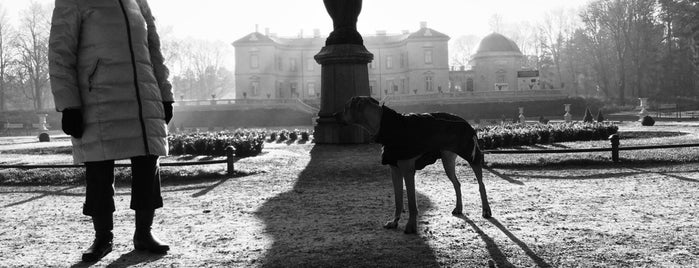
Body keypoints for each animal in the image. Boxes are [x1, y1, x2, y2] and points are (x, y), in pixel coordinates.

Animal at [334, 97, 492, 234]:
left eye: (346, 107)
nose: (334, 115)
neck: (385, 125)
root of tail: (465, 120)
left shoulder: (408, 170)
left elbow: (411, 202)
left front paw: (411, 226)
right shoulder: (395, 170)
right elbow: (398, 200)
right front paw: (394, 221)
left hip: (471, 156)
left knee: (481, 184)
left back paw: (486, 210)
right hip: (447, 161)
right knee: (457, 183)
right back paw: (459, 208)